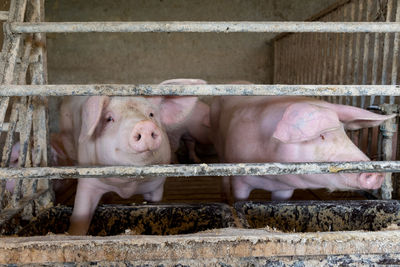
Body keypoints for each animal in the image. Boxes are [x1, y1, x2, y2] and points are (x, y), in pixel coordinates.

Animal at [59, 95, 197, 236]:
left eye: (151, 114)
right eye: (109, 118)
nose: (144, 125)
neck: (127, 186)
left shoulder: (156, 186)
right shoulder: (88, 181)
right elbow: (80, 217)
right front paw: (73, 234)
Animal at [209, 94, 396, 201]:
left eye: (344, 133)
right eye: (321, 136)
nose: (377, 173)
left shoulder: (285, 189)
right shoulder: (239, 179)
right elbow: (241, 200)